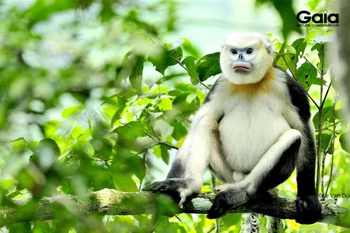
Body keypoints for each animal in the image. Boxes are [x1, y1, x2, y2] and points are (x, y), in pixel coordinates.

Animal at [144, 32, 322, 224]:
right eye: (235, 51)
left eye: (249, 51)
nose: (240, 58)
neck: (250, 84)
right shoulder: (221, 85)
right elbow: (196, 126)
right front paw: (172, 191)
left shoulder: (287, 85)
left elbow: (303, 128)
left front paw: (308, 198)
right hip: (226, 172)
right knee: (206, 122)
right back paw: (191, 185)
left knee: (293, 136)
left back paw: (239, 194)